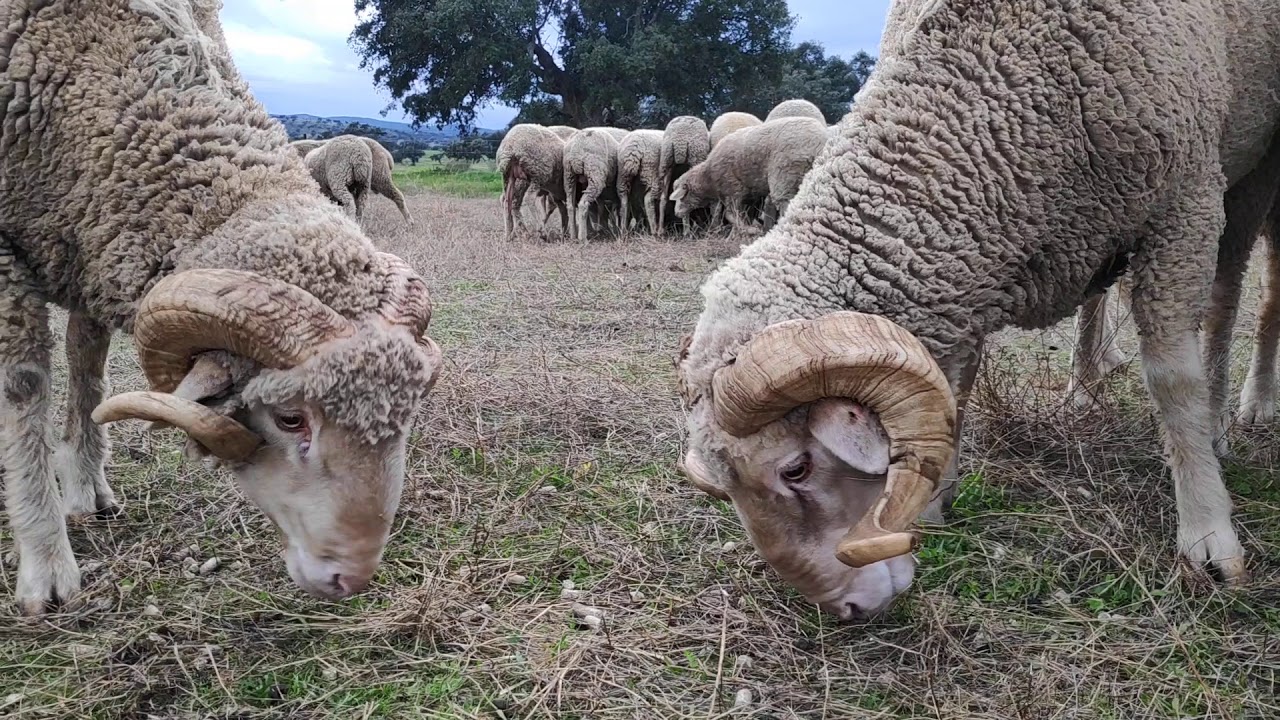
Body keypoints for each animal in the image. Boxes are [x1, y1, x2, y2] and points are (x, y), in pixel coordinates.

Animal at [0, 0, 444, 616]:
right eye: (289, 418)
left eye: (405, 416)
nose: (349, 578)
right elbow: (24, 391)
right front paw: (45, 561)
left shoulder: (92, 242)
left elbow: (87, 369)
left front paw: (87, 484)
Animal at [670, 117, 829, 234]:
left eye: (681, 197)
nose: (676, 214)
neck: (708, 177)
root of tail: (819, 142)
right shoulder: (748, 195)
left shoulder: (733, 190)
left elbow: (730, 215)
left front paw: (750, 229)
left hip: (784, 175)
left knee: (786, 203)